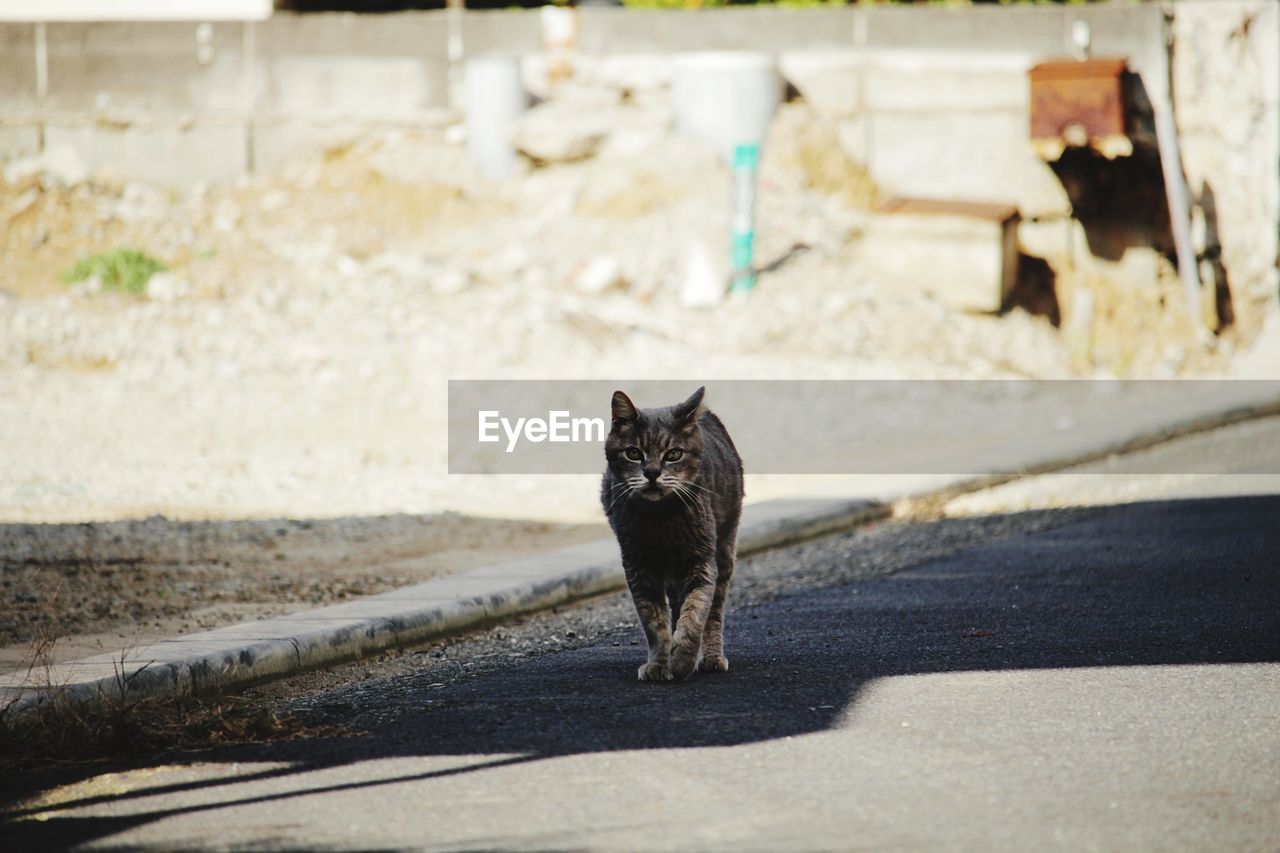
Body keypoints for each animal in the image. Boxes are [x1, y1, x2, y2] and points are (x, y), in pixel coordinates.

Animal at [601, 384, 747, 676]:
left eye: (674, 454)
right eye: (634, 453)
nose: (652, 473)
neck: (660, 519)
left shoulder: (701, 563)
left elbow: (694, 614)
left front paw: (681, 661)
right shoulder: (639, 567)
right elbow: (654, 622)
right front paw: (659, 664)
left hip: (724, 551)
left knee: (713, 613)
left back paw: (712, 657)